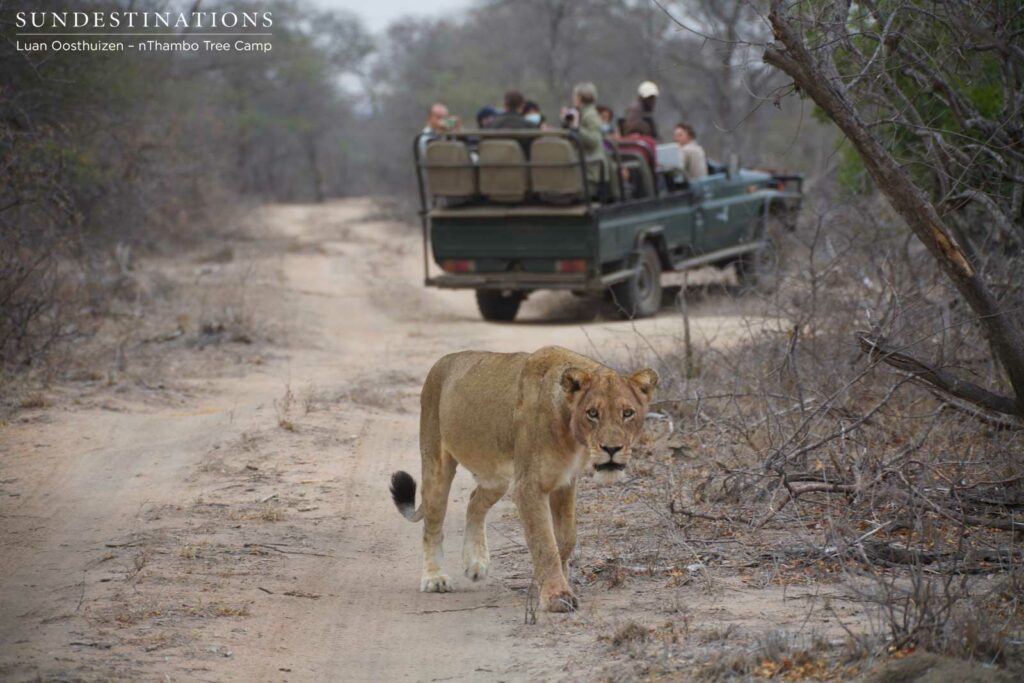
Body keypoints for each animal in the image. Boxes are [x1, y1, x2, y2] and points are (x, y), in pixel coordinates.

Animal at [390, 346, 658, 612]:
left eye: (627, 413)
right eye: (592, 413)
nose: (611, 449)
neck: (572, 435)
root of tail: (441, 362)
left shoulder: (565, 481)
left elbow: (566, 538)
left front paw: (553, 582)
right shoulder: (529, 486)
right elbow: (545, 543)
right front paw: (556, 595)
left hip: (497, 477)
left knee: (474, 501)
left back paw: (475, 563)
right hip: (437, 464)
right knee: (432, 525)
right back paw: (435, 578)